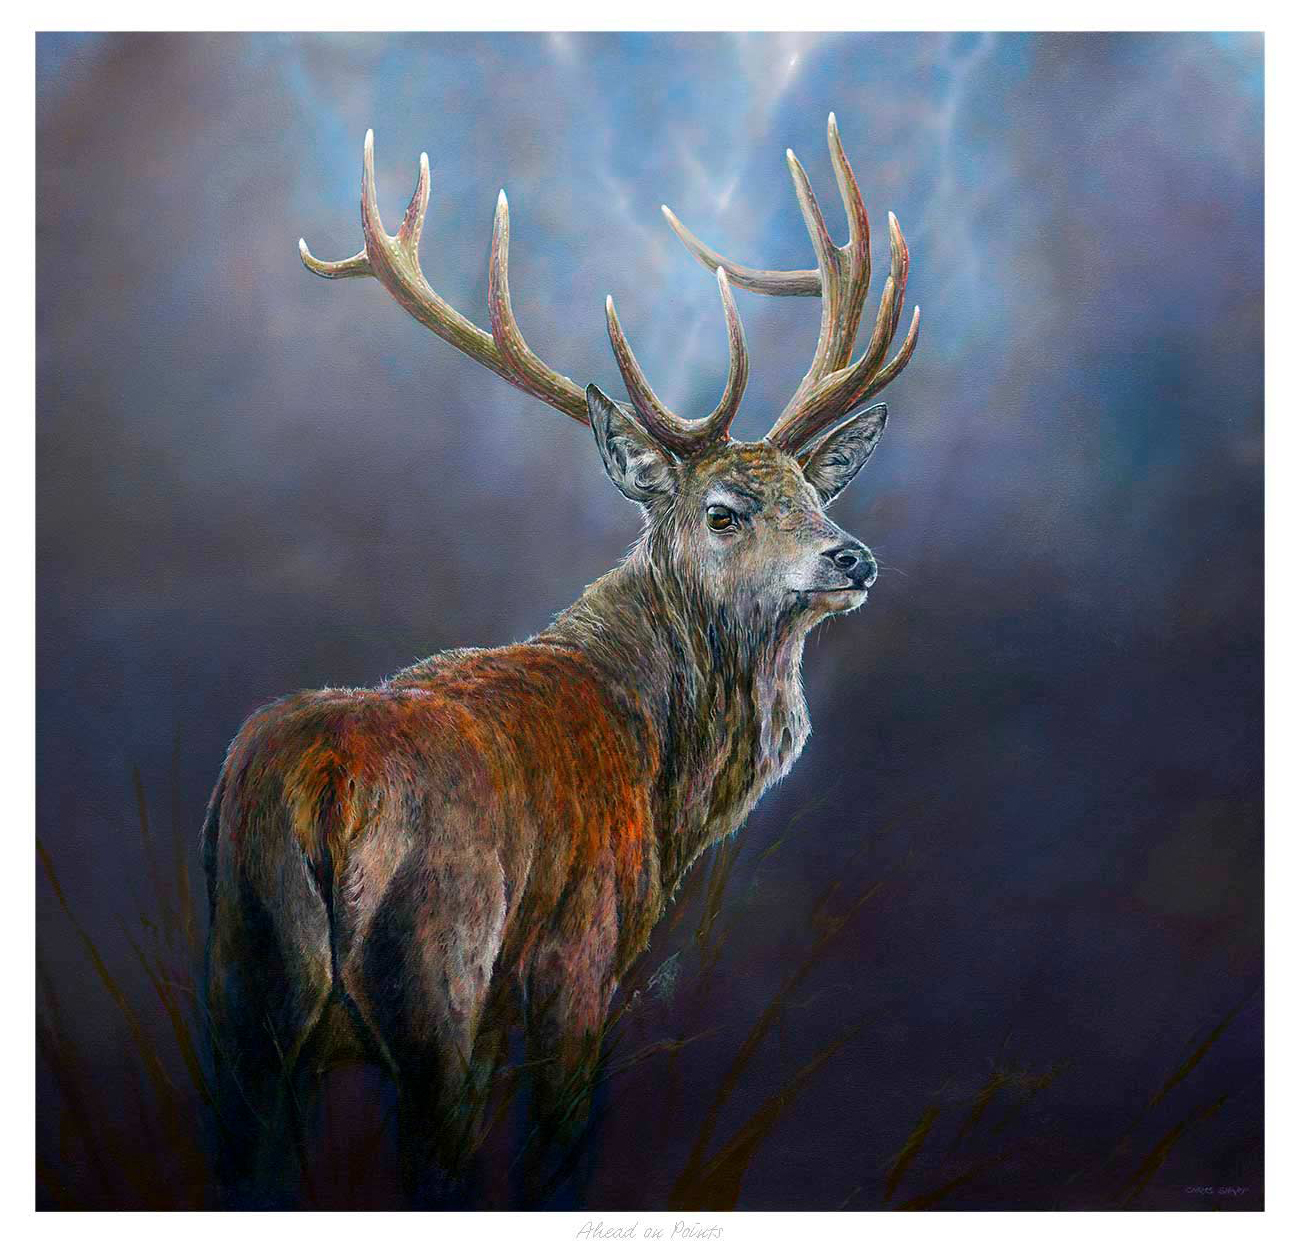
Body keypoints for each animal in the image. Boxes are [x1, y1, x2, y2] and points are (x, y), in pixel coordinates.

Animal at [201, 114, 919, 1200]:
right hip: (439, 976)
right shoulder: (577, 965)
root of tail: (327, 784)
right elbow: (559, 1156)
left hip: (240, 987)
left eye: (812, 492)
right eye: (724, 510)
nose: (852, 557)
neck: (665, 781)